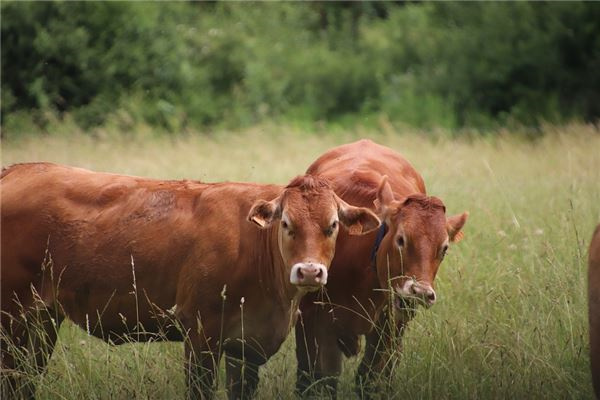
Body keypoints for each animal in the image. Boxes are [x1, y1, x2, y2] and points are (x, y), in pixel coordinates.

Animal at [1, 161, 380, 398]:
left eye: (332, 225)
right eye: (287, 223)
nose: (310, 271)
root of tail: (17, 171)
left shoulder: (244, 346)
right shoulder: (200, 332)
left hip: (42, 318)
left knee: (25, 379)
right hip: (12, 316)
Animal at [296, 141, 468, 396]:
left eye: (444, 248)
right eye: (401, 239)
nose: (419, 292)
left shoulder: (389, 327)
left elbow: (371, 380)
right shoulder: (313, 322)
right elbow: (320, 380)